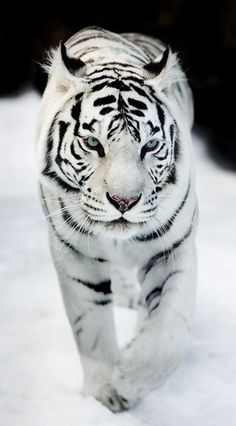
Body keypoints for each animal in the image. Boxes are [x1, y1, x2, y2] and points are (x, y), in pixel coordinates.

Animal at [36, 26, 197, 412]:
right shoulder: (75, 256)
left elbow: (169, 329)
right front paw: (105, 394)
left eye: (149, 146)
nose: (124, 201)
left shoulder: (174, 248)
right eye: (93, 144)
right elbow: (91, 328)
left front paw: (131, 378)